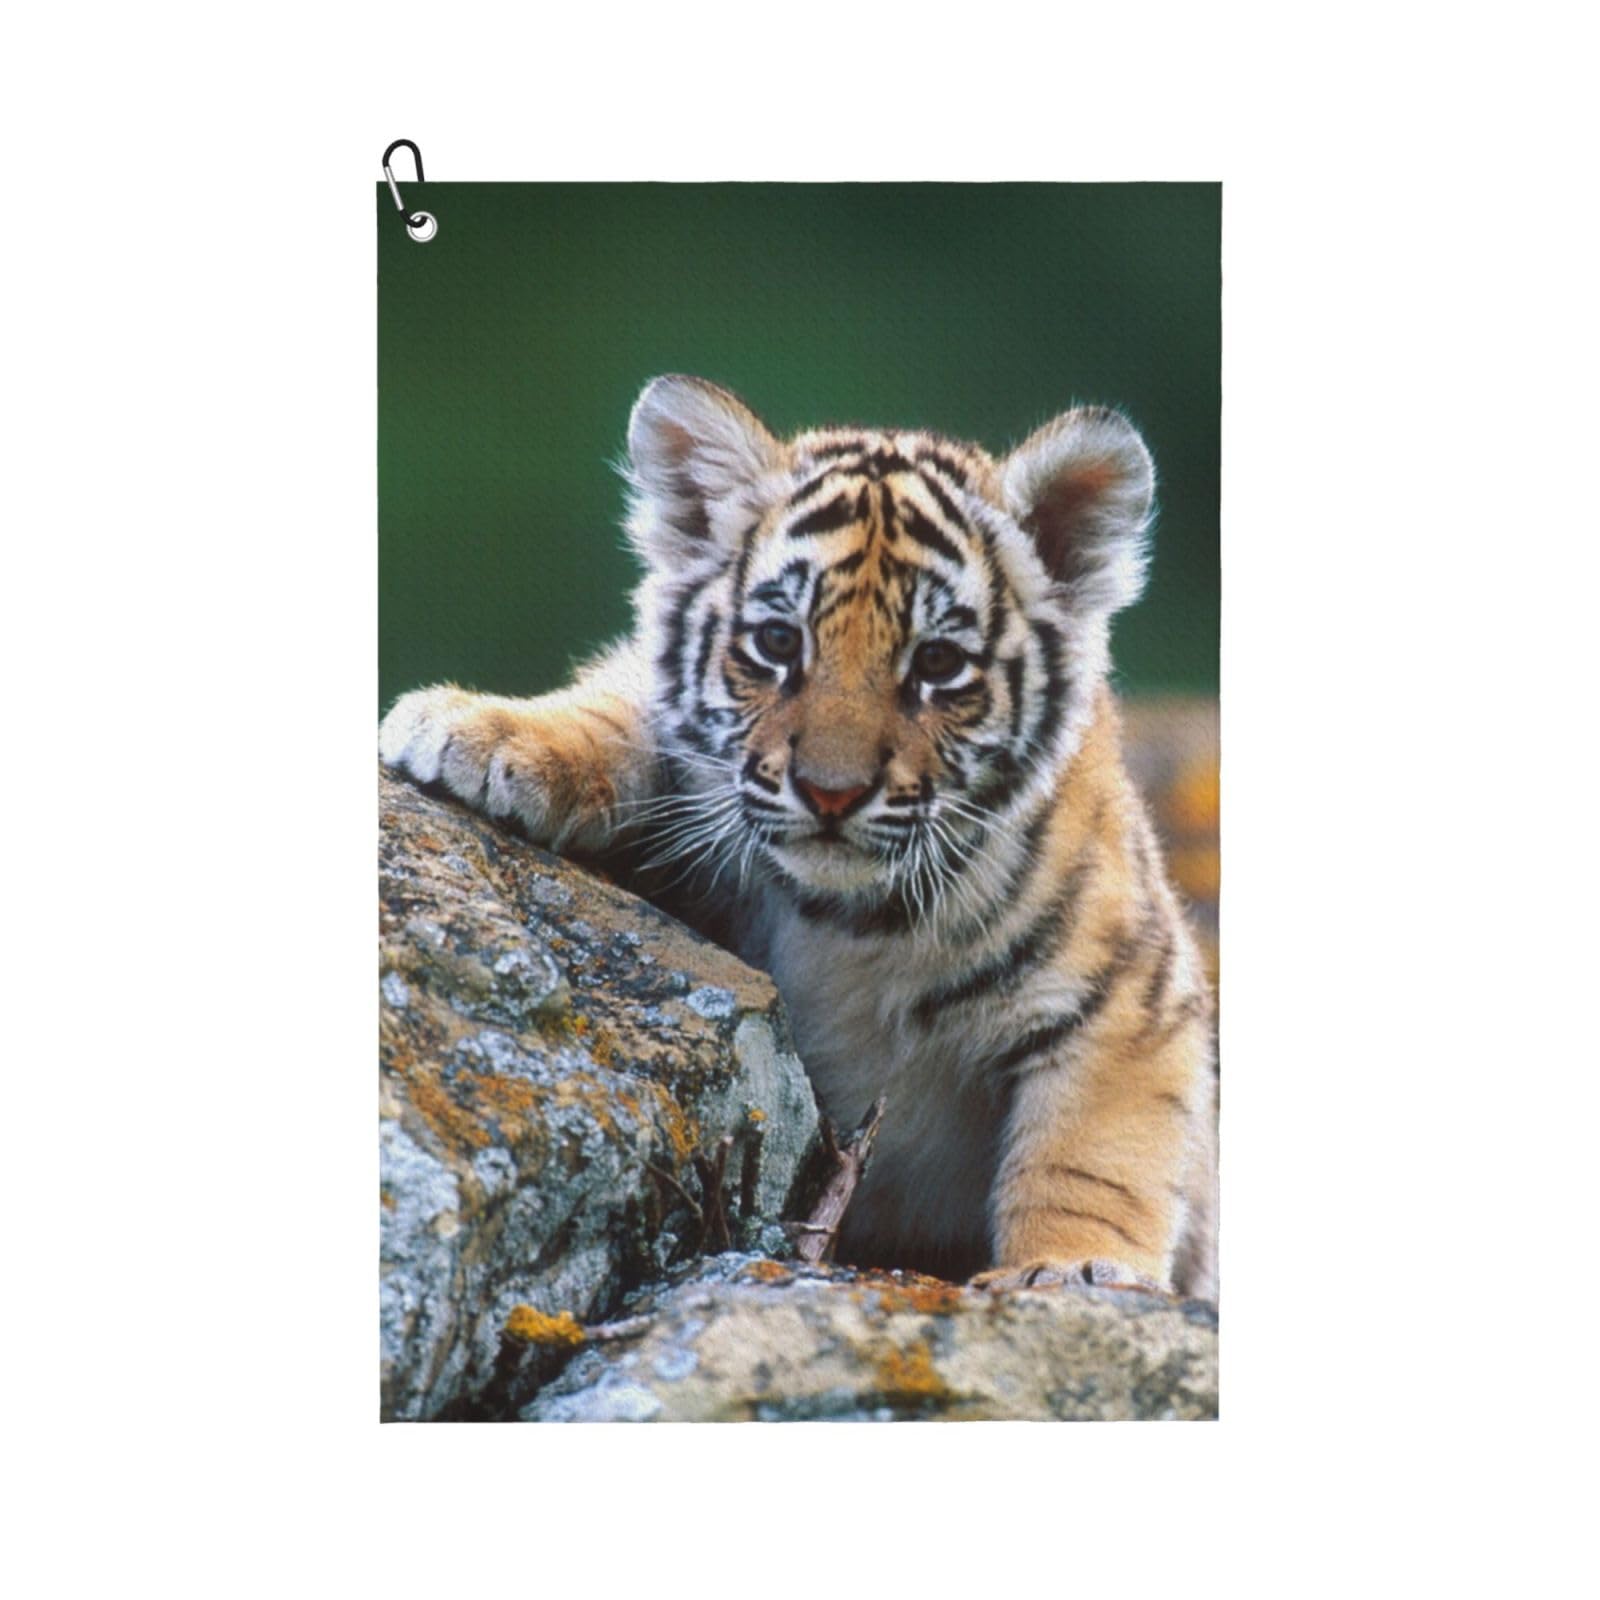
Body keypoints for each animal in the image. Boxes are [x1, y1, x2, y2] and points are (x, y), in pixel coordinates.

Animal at [379, 374, 1217, 1298]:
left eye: (937, 664)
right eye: (779, 642)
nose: (831, 792)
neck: (850, 924)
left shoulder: (1128, 1000)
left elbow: (1092, 1159)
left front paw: (1069, 1272)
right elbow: (626, 708)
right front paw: (480, 730)